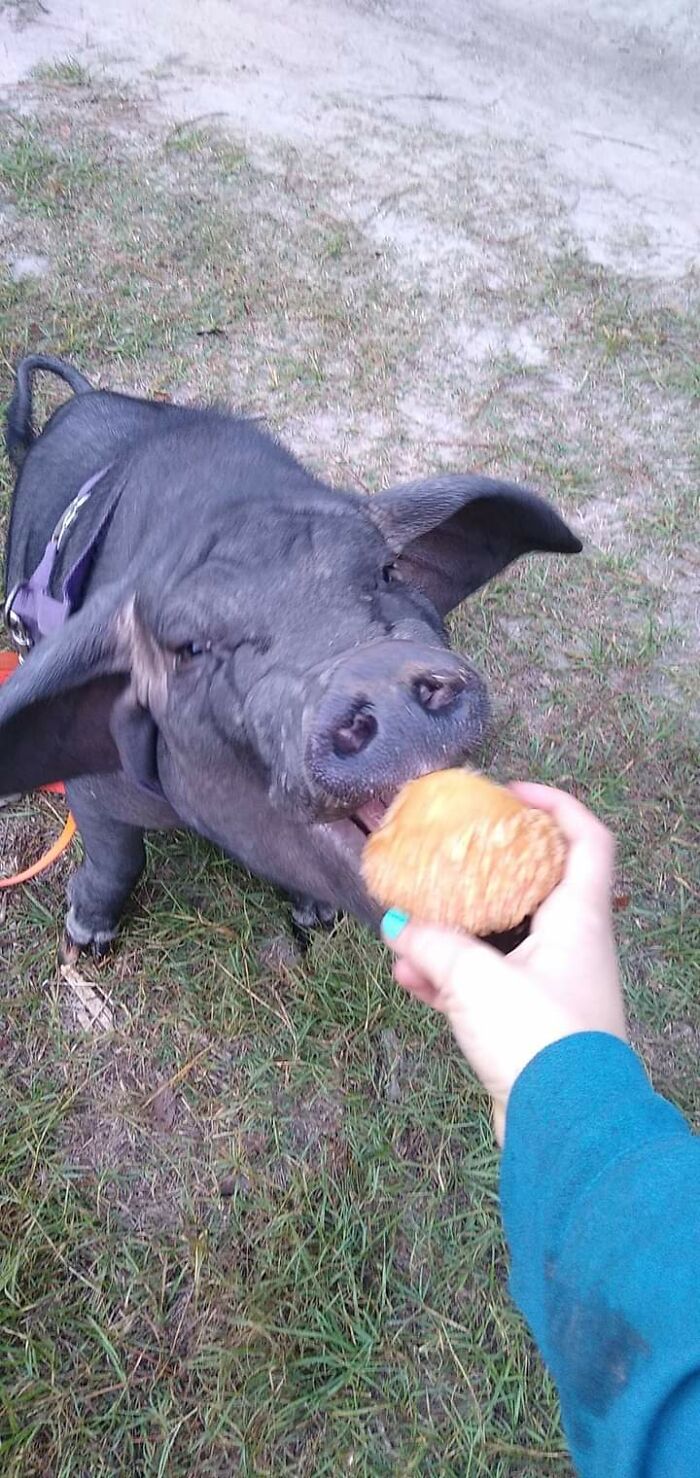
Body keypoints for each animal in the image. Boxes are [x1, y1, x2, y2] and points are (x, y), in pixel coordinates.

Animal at [1, 355, 581, 949]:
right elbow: (117, 853)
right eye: (190, 648)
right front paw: (85, 937)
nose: (373, 672)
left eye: (386, 572)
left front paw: (316, 916)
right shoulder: (93, 788)